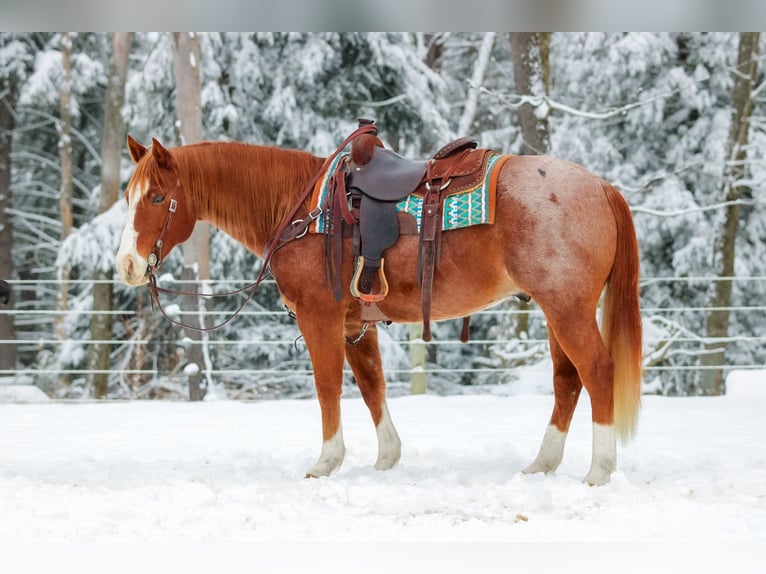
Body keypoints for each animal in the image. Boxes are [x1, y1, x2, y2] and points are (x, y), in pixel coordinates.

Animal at [115, 131, 642, 486]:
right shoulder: (356, 325)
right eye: (128, 196)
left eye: (158, 197)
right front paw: (387, 456)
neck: (303, 211)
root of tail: (600, 187)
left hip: (567, 310)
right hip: (556, 311)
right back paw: (542, 464)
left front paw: (326, 461)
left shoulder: (321, 318)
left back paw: (599, 469)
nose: (127, 264)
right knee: (567, 381)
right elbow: (372, 386)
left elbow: (328, 387)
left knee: (597, 371)